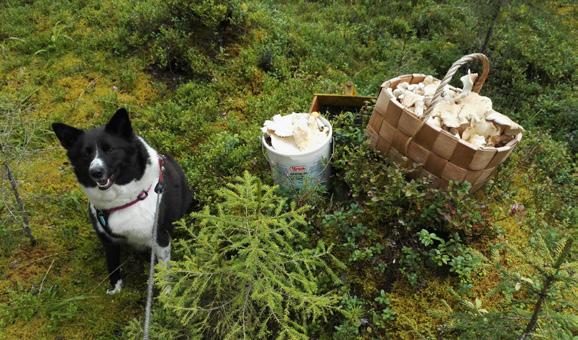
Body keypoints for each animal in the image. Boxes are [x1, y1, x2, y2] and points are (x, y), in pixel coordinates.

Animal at [52, 109, 191, 294]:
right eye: (86, 153)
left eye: (110, 149)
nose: (96, 172)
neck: (122, 200)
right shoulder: (108, 242)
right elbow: (112, 265)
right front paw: (115, 289)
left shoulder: (160, 238)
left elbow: (164, 270)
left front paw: (167, 295)